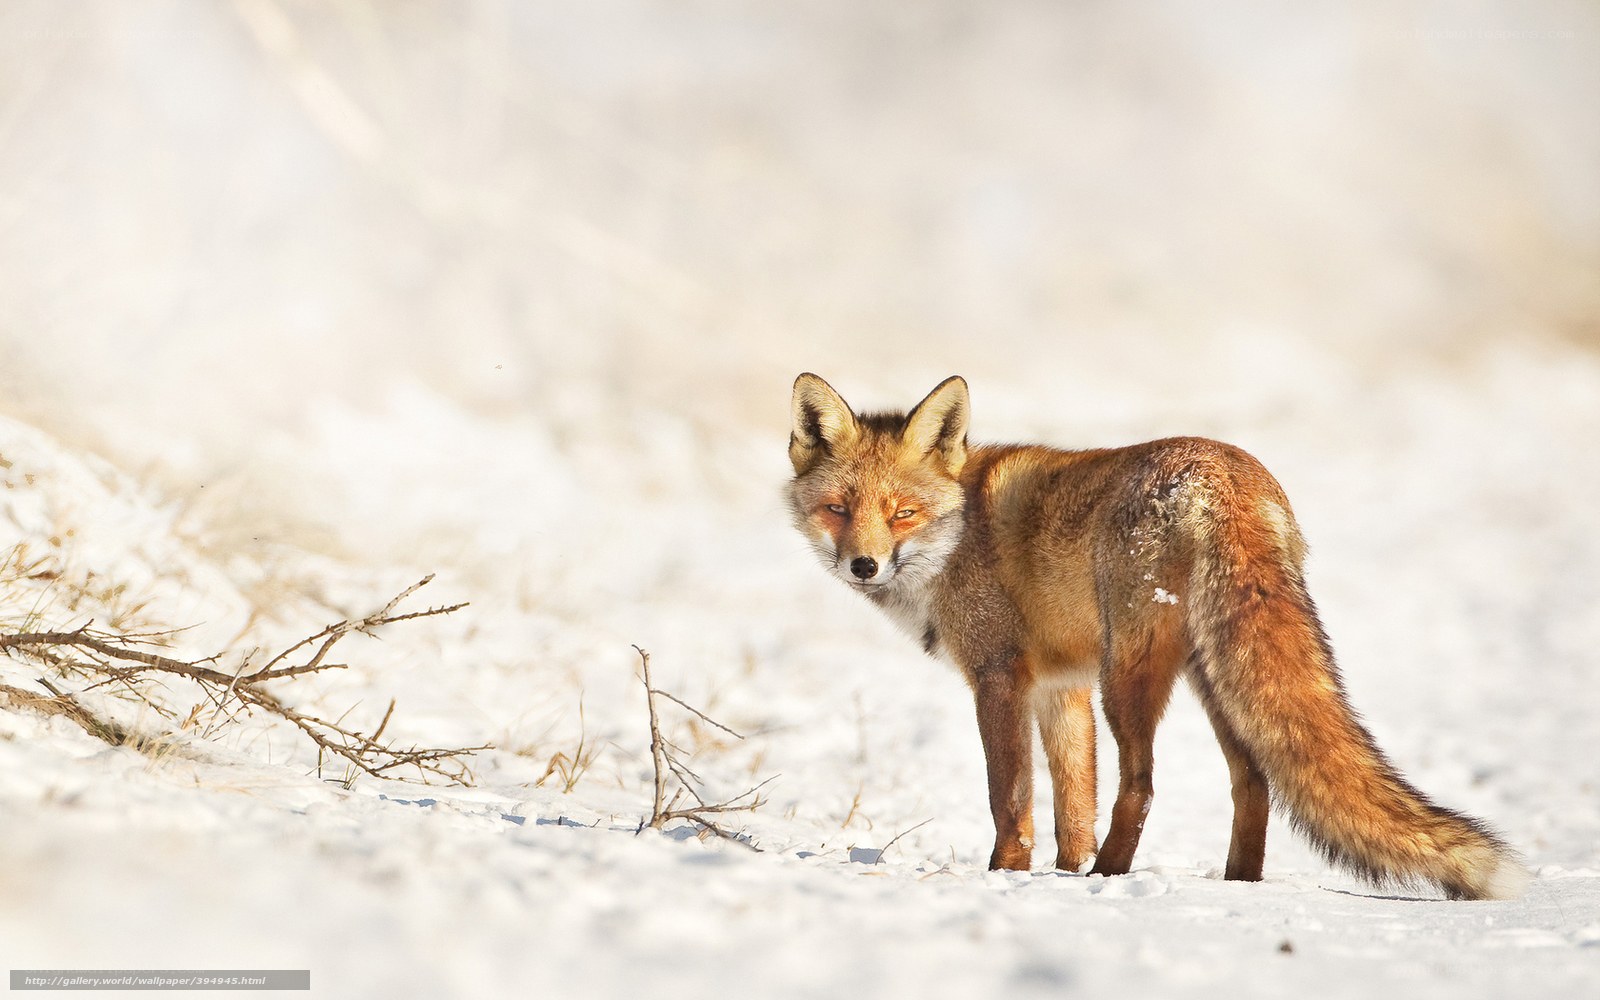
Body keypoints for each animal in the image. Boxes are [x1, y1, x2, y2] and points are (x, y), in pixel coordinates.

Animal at [786, 372, 1529, 900]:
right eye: (838, 509)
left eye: (901, 514)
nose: (863, 565)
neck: (960, 534)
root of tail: (1226, 473)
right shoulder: (1061, 689)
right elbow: (1072, 803)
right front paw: (1061, 870)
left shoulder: (1001, 678)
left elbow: (1013, 799)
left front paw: (1009, 874)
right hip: (1213, 679)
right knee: (1253, 781)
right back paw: (1235, 884)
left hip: (1130, 675)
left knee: (1142, 783)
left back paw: (1111, 877)